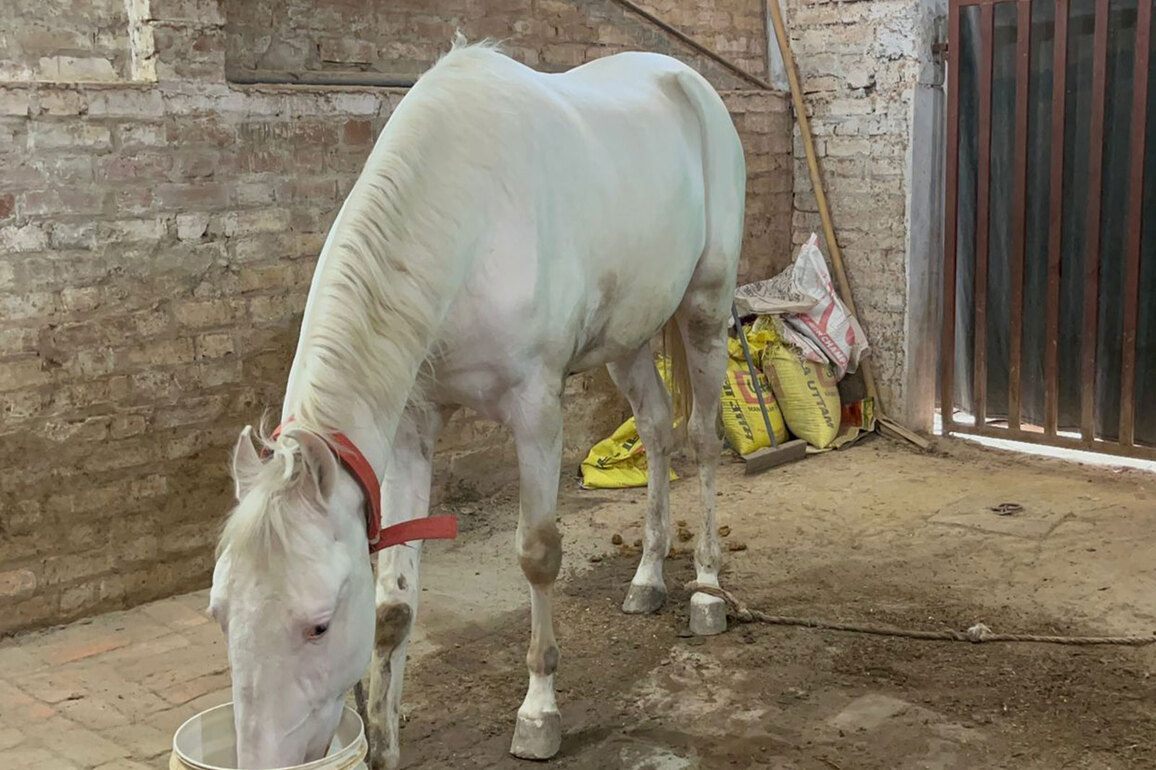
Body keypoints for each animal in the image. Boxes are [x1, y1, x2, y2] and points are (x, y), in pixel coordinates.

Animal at [208, 39, 745, 770]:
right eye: (220, 613)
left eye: (318, 625)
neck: (469, 219)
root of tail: (686, 79)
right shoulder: (411, 430)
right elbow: (393, 607)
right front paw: (383, 743)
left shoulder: (536, 411)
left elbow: (538, 554)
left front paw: (539, 712)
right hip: (628, 338)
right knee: (658, 433)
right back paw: (647, 579)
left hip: (706, 309)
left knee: (703, 442)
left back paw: (707, 593)